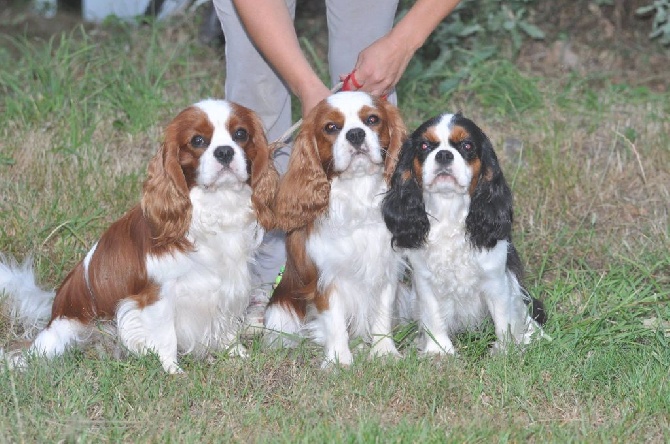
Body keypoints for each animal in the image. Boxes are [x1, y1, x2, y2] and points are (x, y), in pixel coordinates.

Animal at [0, 99, 278, 372]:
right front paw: (173, 371)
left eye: (240, 134)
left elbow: (226, 325)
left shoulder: (229, 285)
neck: (216, 205)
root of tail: (55, 309)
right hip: (63, 333)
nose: (224, 151)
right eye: (198, 140)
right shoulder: (157, 295)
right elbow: (166, 337)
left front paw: (237, 354)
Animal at [266, 91, 406, 368]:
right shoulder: (326, 278)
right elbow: (335, 321)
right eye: (331, 127)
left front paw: (384, 352)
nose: (356, 134)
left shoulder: (386, 268)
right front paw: (339, 360)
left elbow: (382, 314)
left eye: (372, 120)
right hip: (281, 312)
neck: (357, 192)